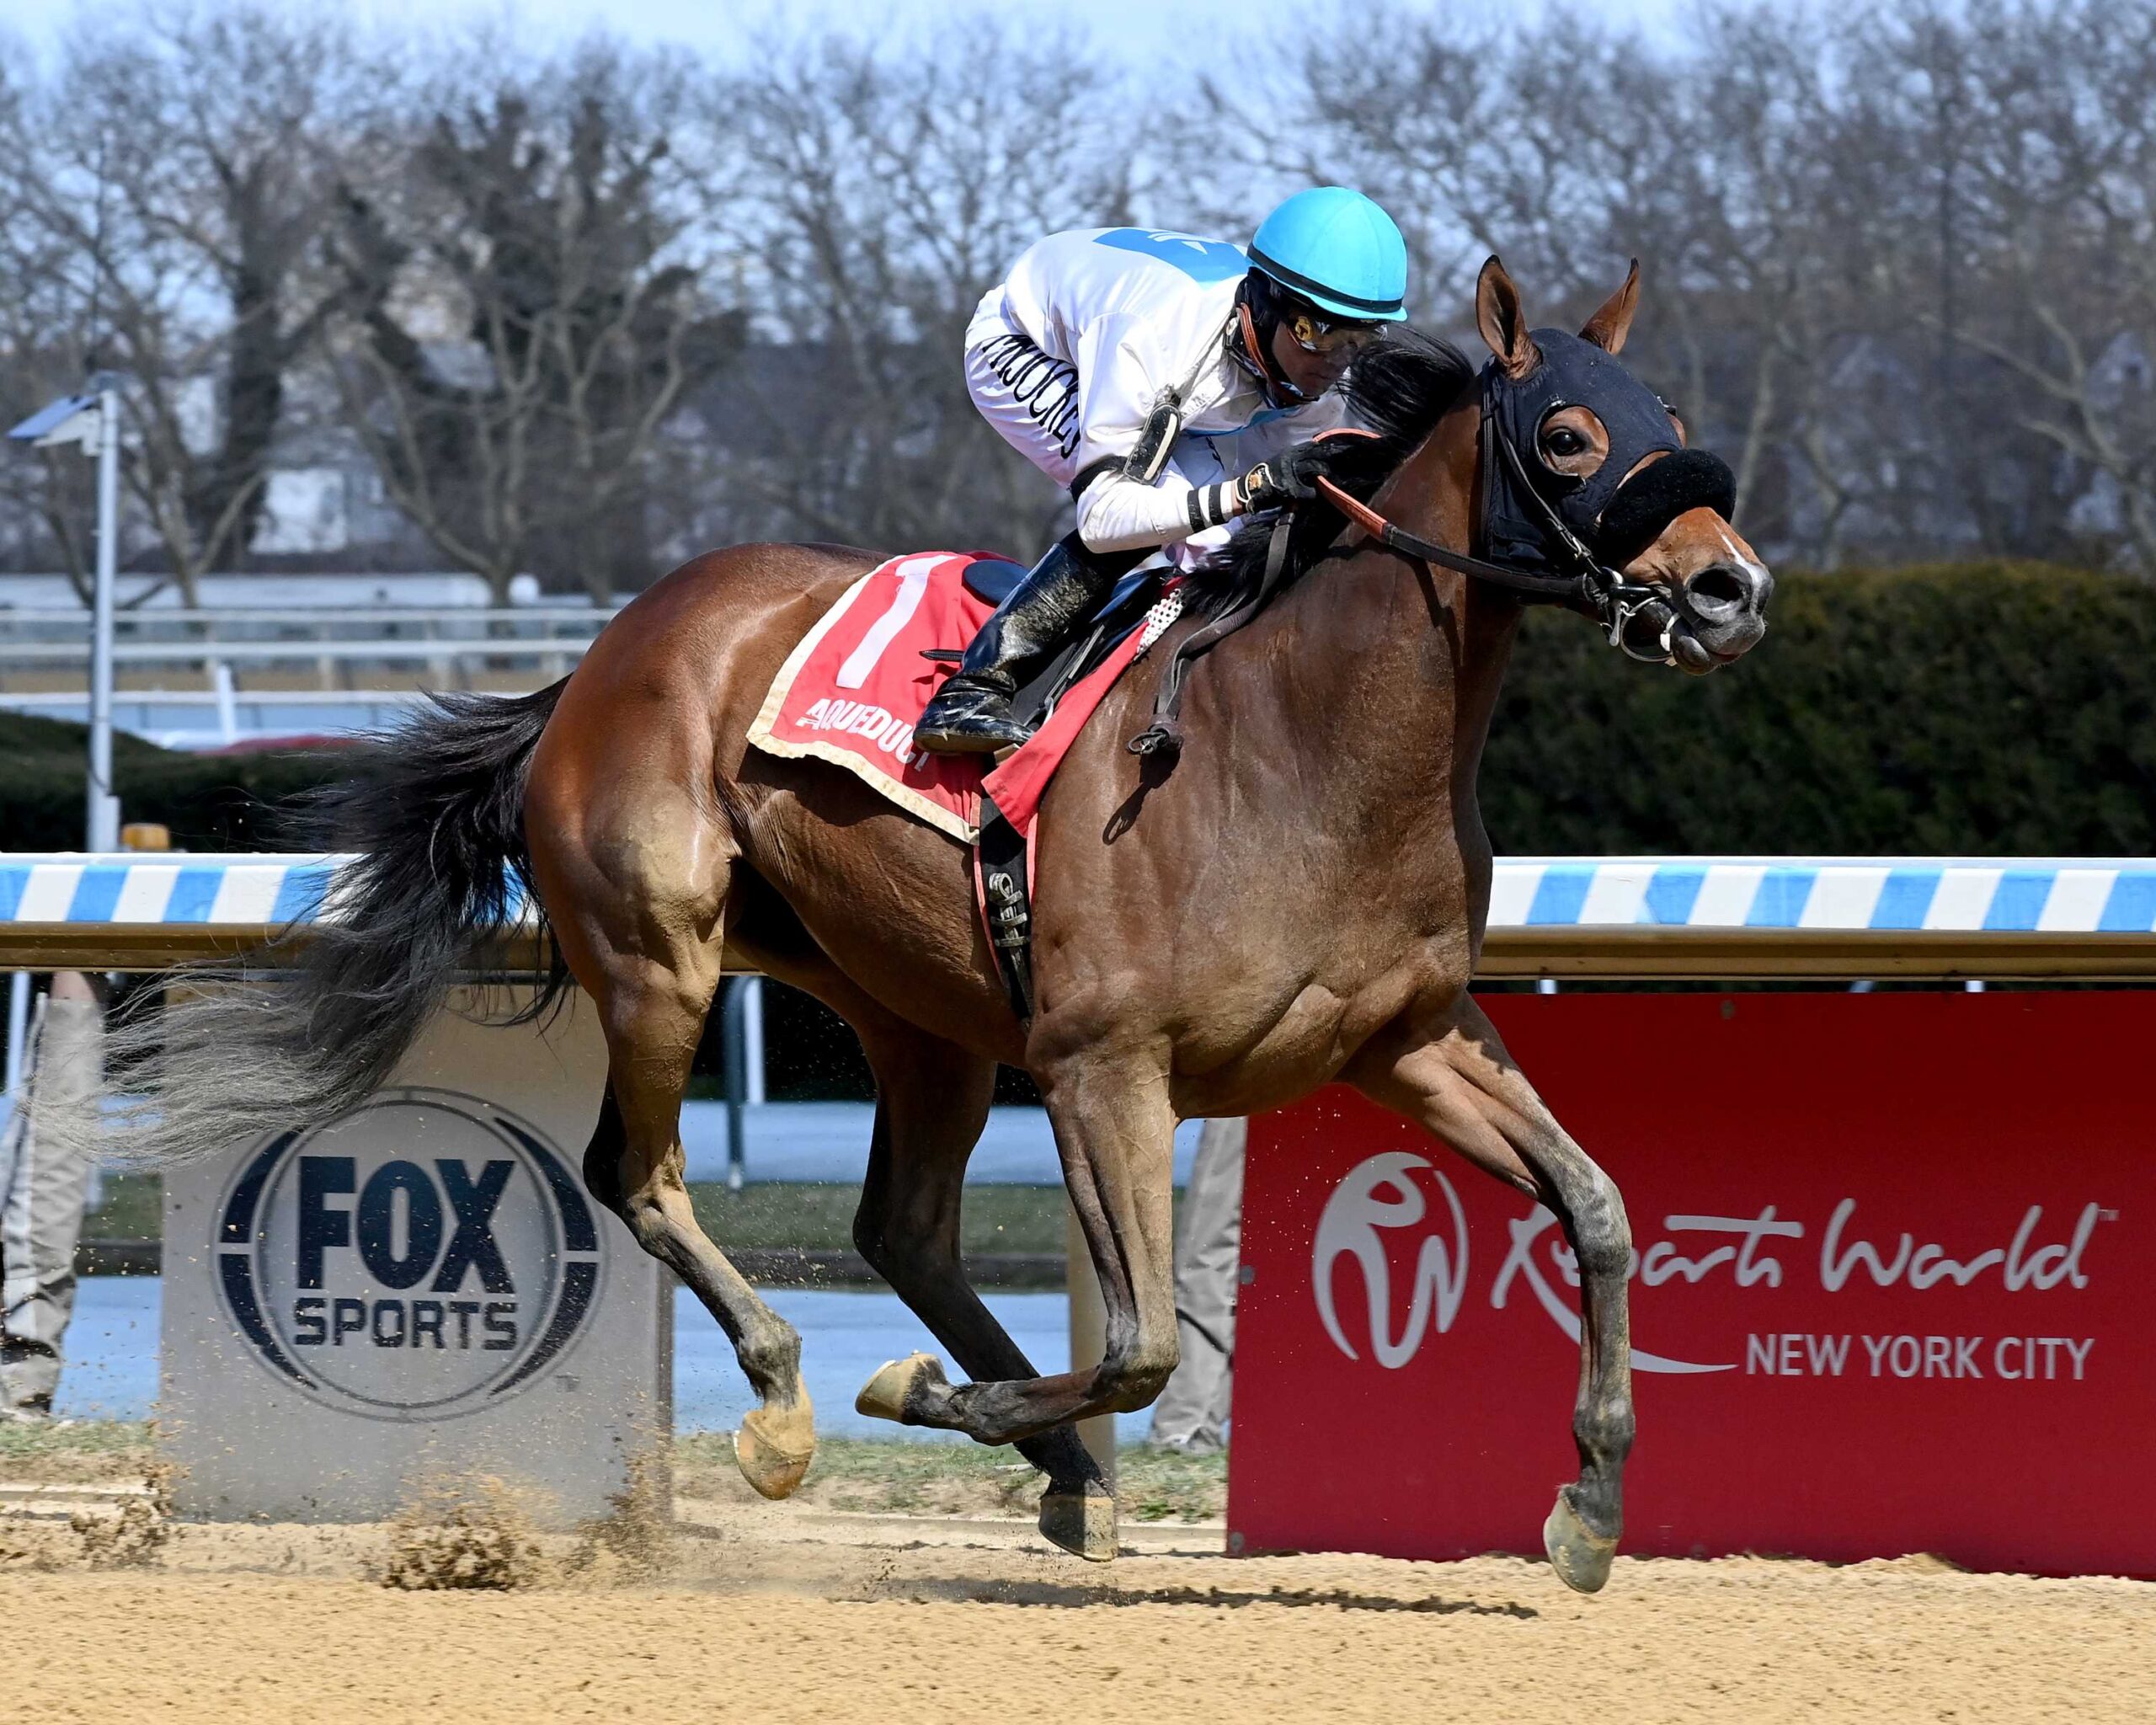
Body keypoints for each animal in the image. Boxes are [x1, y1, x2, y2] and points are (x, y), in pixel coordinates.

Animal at [130, 256, 1771, 1587]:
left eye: (1671, 405)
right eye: (1568, 435)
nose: (1729, 590)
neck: (1303, 746)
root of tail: (599, 656)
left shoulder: (1408, 1041)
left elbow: (1600, 1209)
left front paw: (1590, 1507)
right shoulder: (1107, 1065)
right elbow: (1141, 1342)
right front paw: (928, 1396)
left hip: (922, 1014)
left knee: (901, 1226)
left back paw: (1049, 1469)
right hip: (662, 957)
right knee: (637, 1173)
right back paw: (797, 1402)